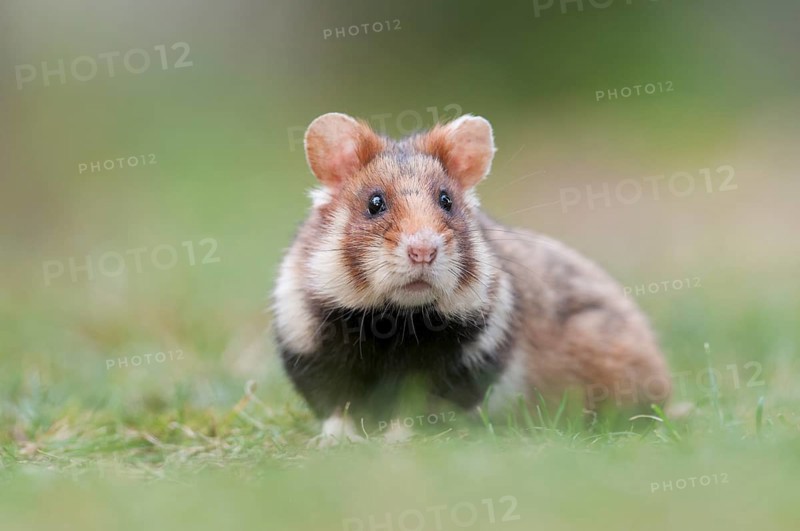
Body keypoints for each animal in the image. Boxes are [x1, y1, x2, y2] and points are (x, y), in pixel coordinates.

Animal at [273, 112, 671, 443]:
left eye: (446, 200)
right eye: (374, 203)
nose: (423, 251)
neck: (395, 319)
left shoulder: (465, 362)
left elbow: (419, 410)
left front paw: (398, 441)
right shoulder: (309, 348)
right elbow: (337, 406)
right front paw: (338, 442)